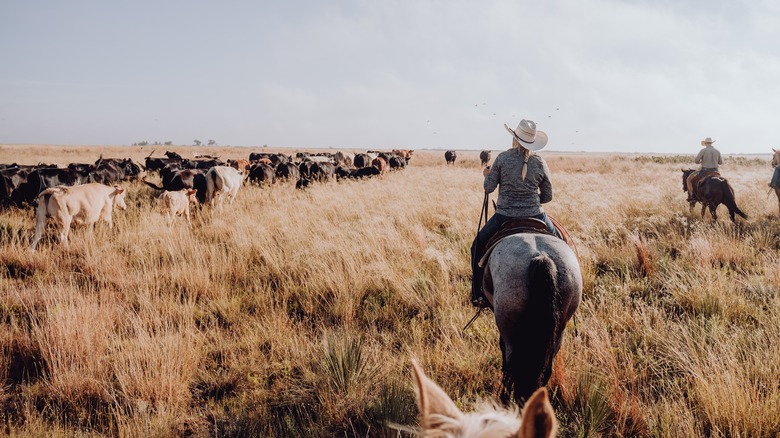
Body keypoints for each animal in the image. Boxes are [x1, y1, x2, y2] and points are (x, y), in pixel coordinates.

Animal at [484, 233, 580, 404]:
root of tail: (541, 257)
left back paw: (505, 399)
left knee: (511, 366)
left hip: (510, 330)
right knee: (545, 369)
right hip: (559, 329)